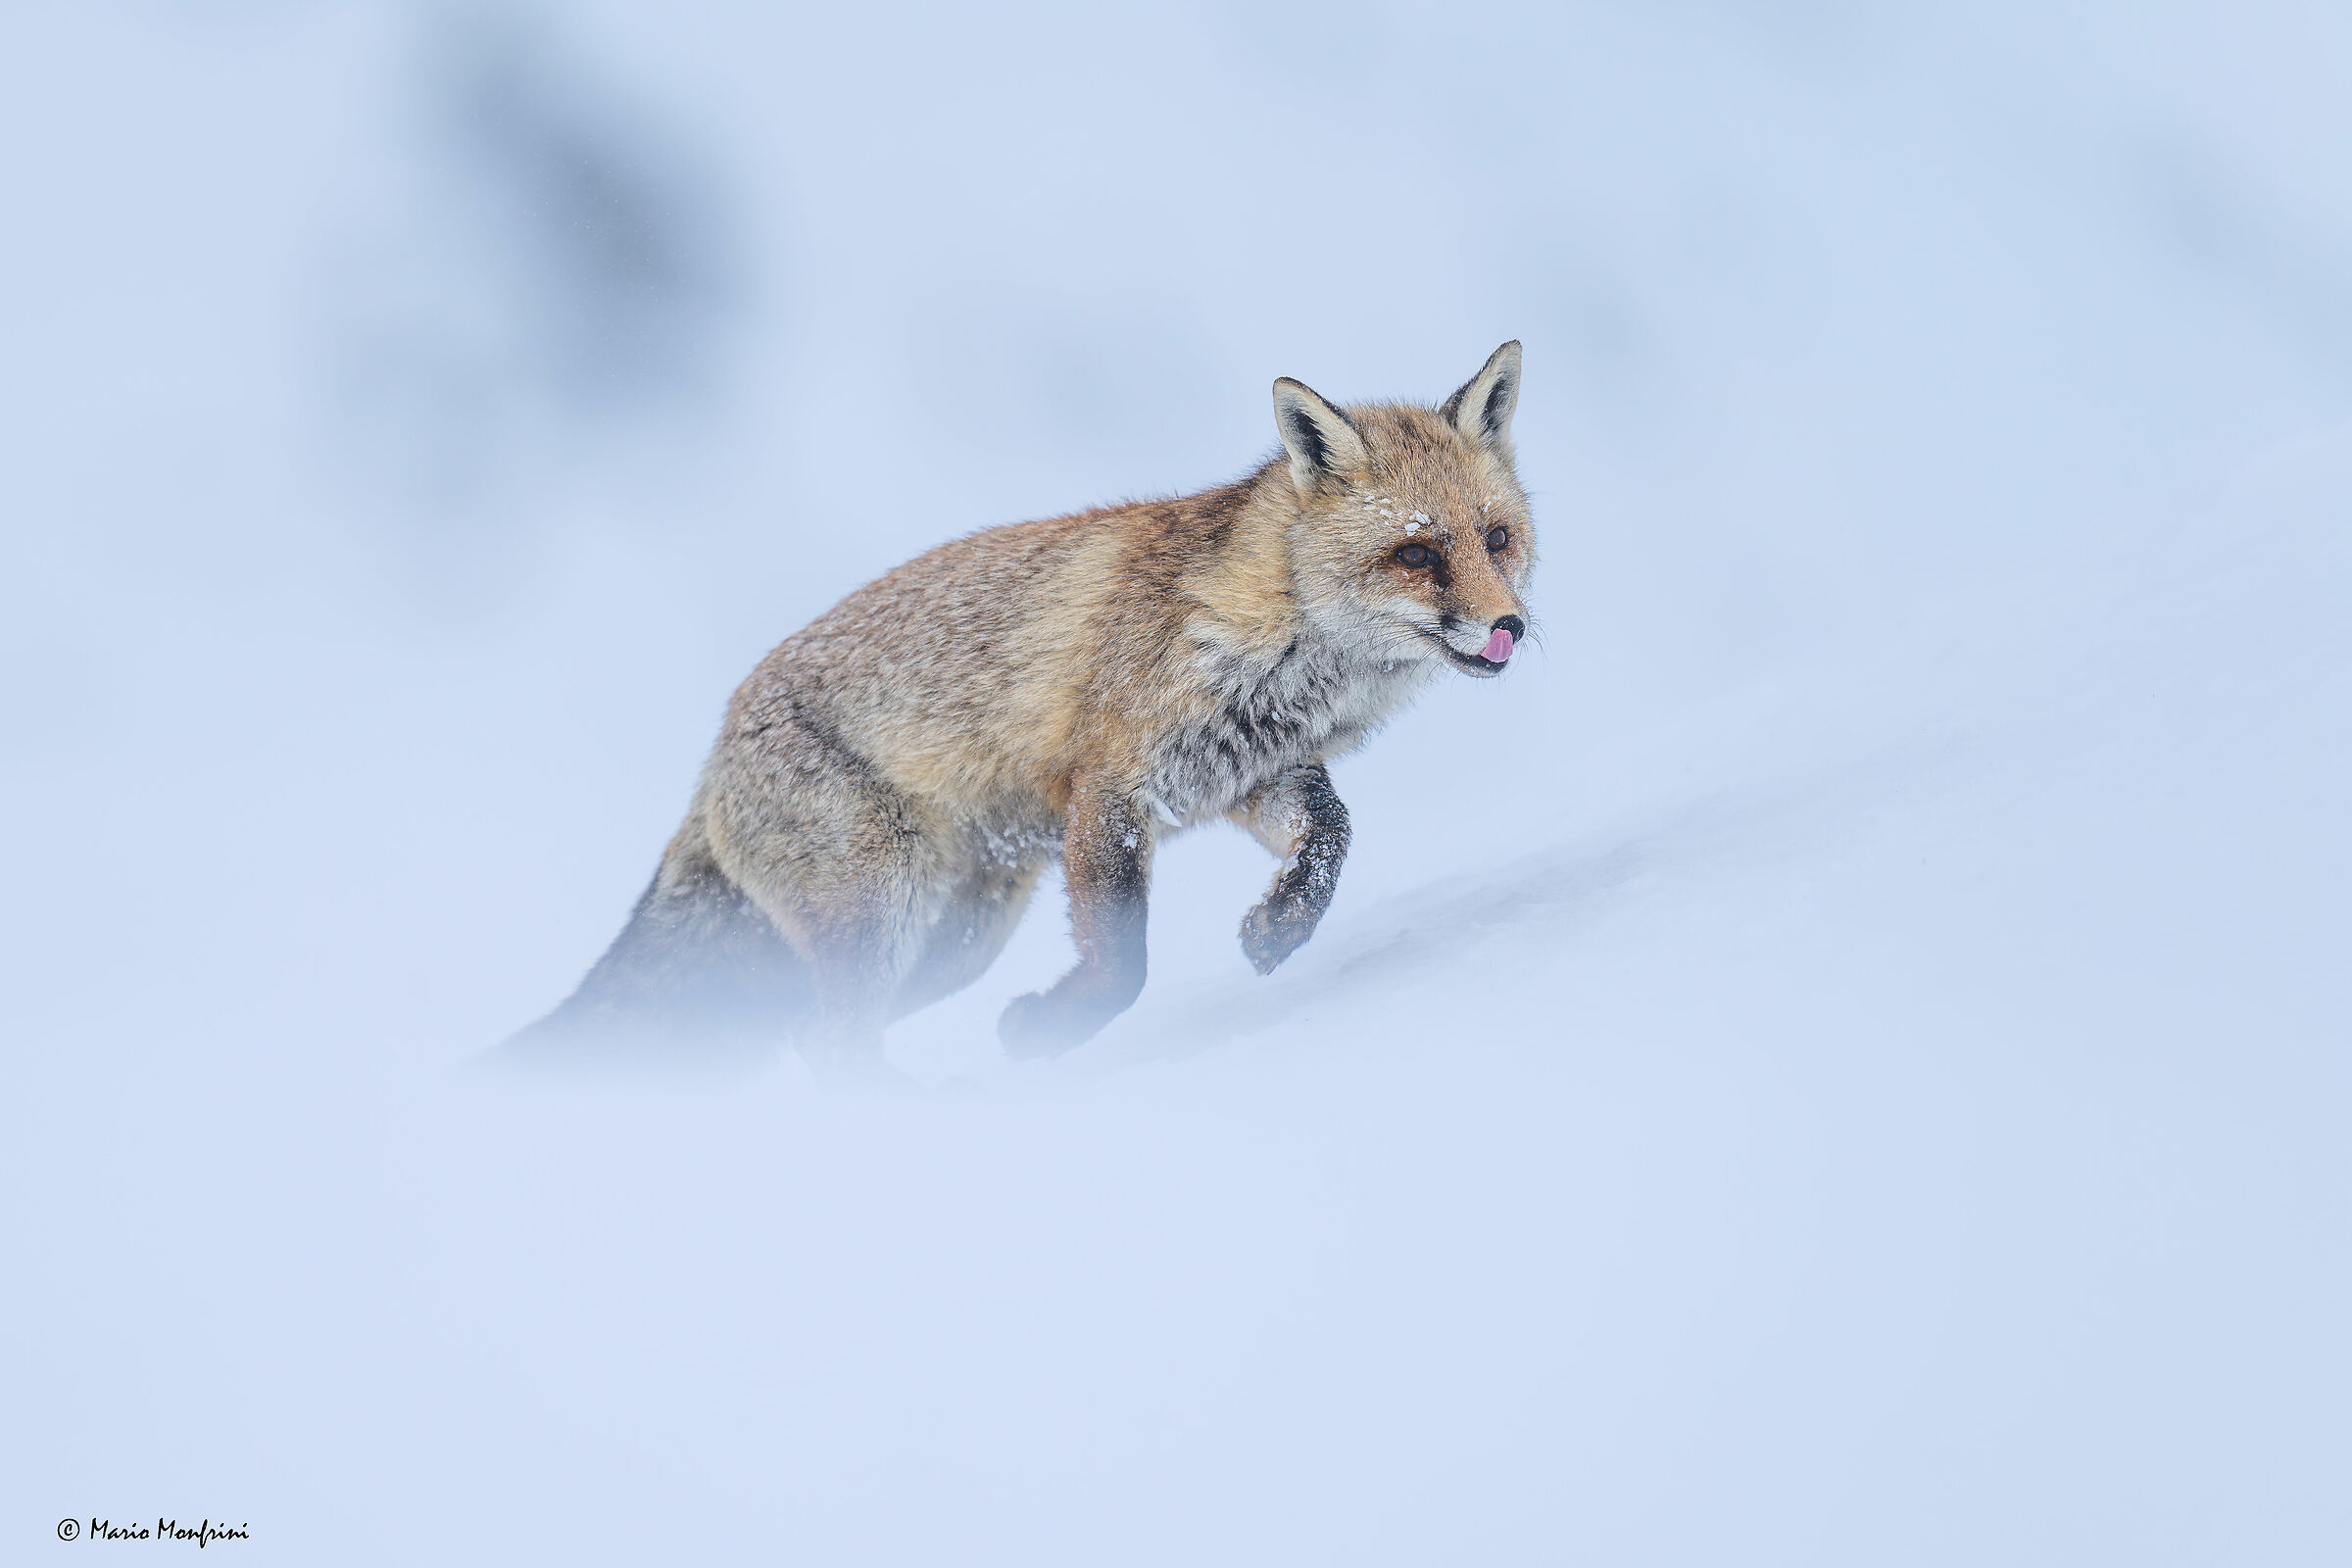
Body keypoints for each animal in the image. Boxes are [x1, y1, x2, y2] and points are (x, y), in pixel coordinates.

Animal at [517, 341, 1536, 1073]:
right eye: (1416, 554)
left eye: (1496, 539)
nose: (1510, 627)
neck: (1266, 638)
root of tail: (713, 755)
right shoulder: (1109, 791)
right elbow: (1123, 966)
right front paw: (1055, 1031)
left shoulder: (1250, 777)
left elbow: (1331, 841)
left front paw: (1278, 930)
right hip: (882, 911)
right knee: (832, 1042)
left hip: (957, 940)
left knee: (810, 1035)